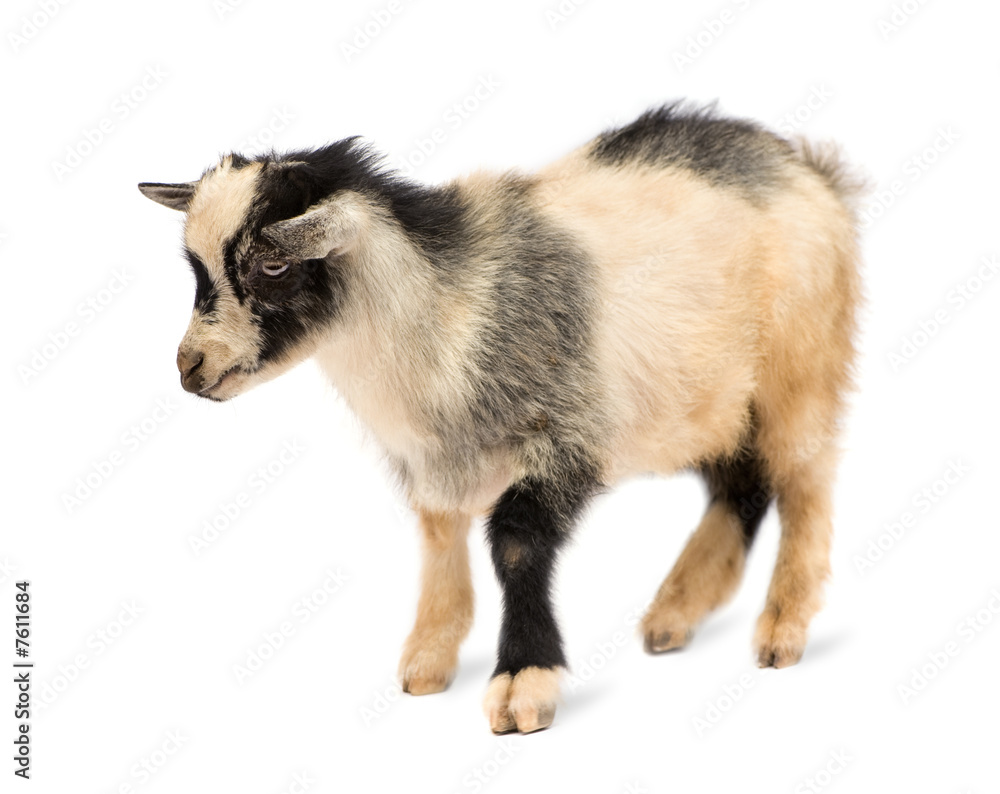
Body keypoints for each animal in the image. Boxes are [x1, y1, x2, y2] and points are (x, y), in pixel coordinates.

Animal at [139, 103, 862, 734]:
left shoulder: (565, 435)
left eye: (273, 264)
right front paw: (429, 656)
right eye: (196, 270)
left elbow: (515, 545)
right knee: (743, 483)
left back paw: (781, 626)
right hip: (710, 399)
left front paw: (523, 683)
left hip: (800, 368)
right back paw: (675, 612)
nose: (190, 368)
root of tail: (807, 168)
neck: (442, 311)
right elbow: (439, 535)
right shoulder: (432, 461)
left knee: (804, 481)